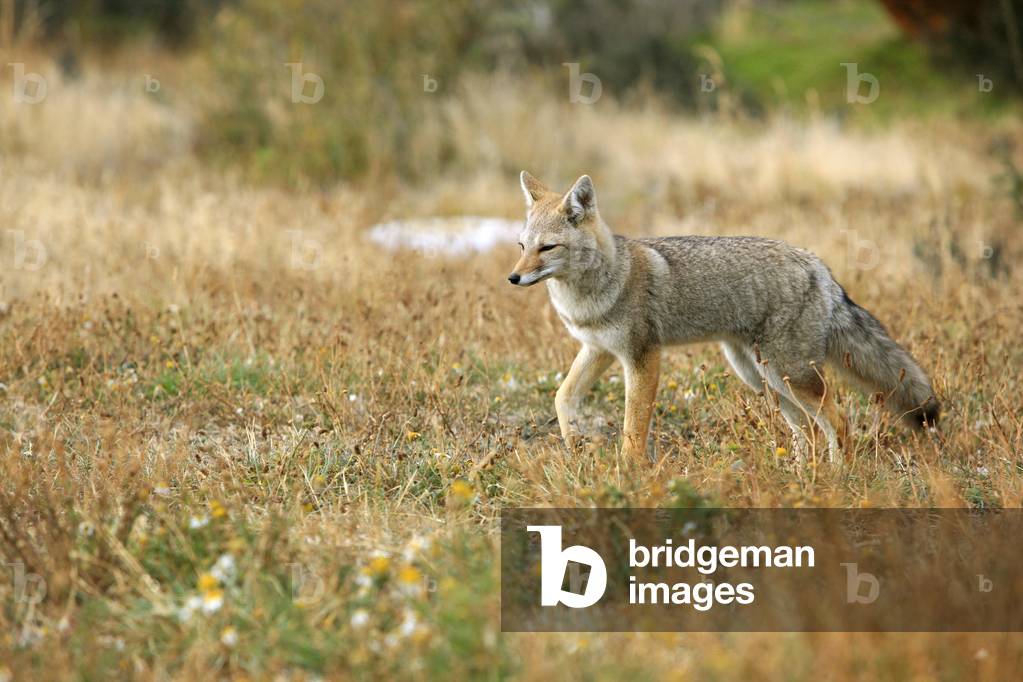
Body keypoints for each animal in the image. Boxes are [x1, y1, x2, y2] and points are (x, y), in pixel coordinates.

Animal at [507, 171, 940, 462]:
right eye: (522, 246)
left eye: (547, 248)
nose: (513, 278)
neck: (590, 293)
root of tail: (816, 264)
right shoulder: (598, 349)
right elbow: (563, 397)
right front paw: (574, 443)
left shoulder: (642, 356)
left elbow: (633, 425)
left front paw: (628, 474)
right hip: (763, 377)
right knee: (807, 430)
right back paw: (800, 476)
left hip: (790, 374)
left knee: (840, 421)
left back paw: (837, 474)